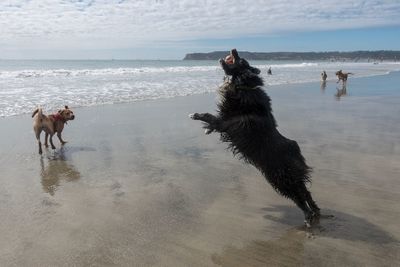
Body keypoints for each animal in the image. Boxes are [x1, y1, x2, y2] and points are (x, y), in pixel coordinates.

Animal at [191, 49, 322, 227]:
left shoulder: (227, 123)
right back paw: (316, 212)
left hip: (280, 179)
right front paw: (207, 129)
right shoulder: (225, 123)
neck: (243, 86)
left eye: (242, 61)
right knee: (305, 192)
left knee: (299, 197)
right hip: (285, 177)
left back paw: (308, 217)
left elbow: (209, 116)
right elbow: (212, 122)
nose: (234, 49)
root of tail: (295, 151)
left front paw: (195, 115)